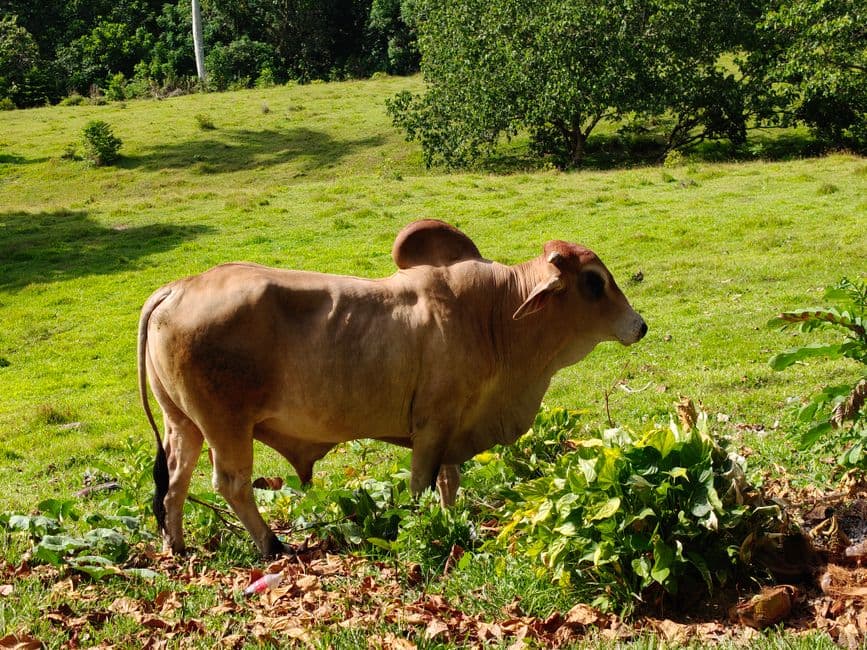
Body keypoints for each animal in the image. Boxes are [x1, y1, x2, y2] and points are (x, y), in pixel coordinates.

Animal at [138, 220, 647, 557]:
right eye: (593, 282)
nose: (639, 325)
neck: (495, 314)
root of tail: (177, 287)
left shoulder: (452, 426)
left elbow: (449, 481)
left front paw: (452, 520)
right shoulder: (433, 425)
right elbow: (421, 483)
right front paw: (421, 528)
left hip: (183, 423)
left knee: (175, 482)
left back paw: (177, 546)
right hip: (226, 425)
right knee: (231, 483)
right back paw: (271, 544)